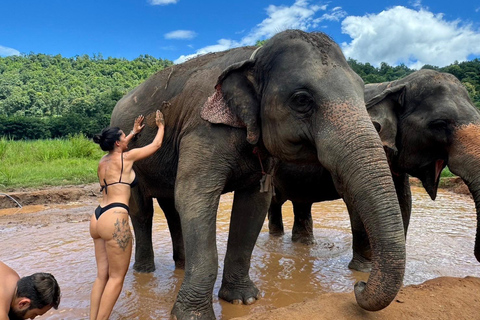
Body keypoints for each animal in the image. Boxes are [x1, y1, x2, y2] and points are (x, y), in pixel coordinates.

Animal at [110, 29, 406, 318]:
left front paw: (243, 299)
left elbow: (253, 204)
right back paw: (144, 271)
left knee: (171, 209)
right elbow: (195, 197)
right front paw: (193, 315)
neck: (254, 55)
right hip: (128, 159)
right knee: (142, 211)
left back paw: (181, 266)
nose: (358, 284)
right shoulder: (202, 129)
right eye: (302, 99)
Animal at [268, 68, 480, 272]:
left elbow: (403, 200)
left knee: (300, 201)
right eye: (439, 124)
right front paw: (364, 270)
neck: (395, 84)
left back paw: (302, 244)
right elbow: (358, 201)